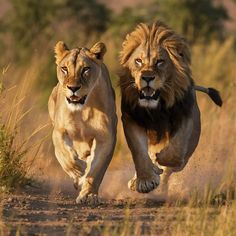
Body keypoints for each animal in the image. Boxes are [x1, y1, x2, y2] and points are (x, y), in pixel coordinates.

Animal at [48, 40, 117, 203]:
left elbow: (97, 169)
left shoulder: (106, 137)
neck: (84, 109)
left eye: (85, 69)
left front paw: (88, 195)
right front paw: (78, 170)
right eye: (64, 69)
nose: (73, 88)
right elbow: (65, 154)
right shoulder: (59, 131)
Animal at [119, 20, 222, 194]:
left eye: (160, 62)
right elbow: (139, 152)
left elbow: (175, 151)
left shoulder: (185, 116)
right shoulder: (131, 119)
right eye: (138, 61)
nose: (147, 77)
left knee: (170, 168)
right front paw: (145, 181)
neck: (156, 109)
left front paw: (159, 160)